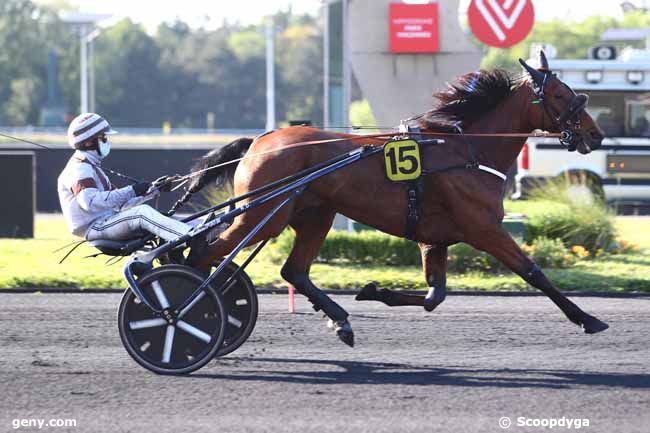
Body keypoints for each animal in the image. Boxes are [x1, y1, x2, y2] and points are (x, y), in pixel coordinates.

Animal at [187, 52, 608, 346]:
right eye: (560, 94)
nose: (596, 134)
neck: (466, 152)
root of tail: (260, 140)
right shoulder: (484, 229)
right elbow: (534, 272)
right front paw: (589, 319)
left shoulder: (434, 239)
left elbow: (435, 295)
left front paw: (374, 290)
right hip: (262, 215)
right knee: (204, 252)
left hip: (315, 214)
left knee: (294, 271)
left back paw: (340, 321)